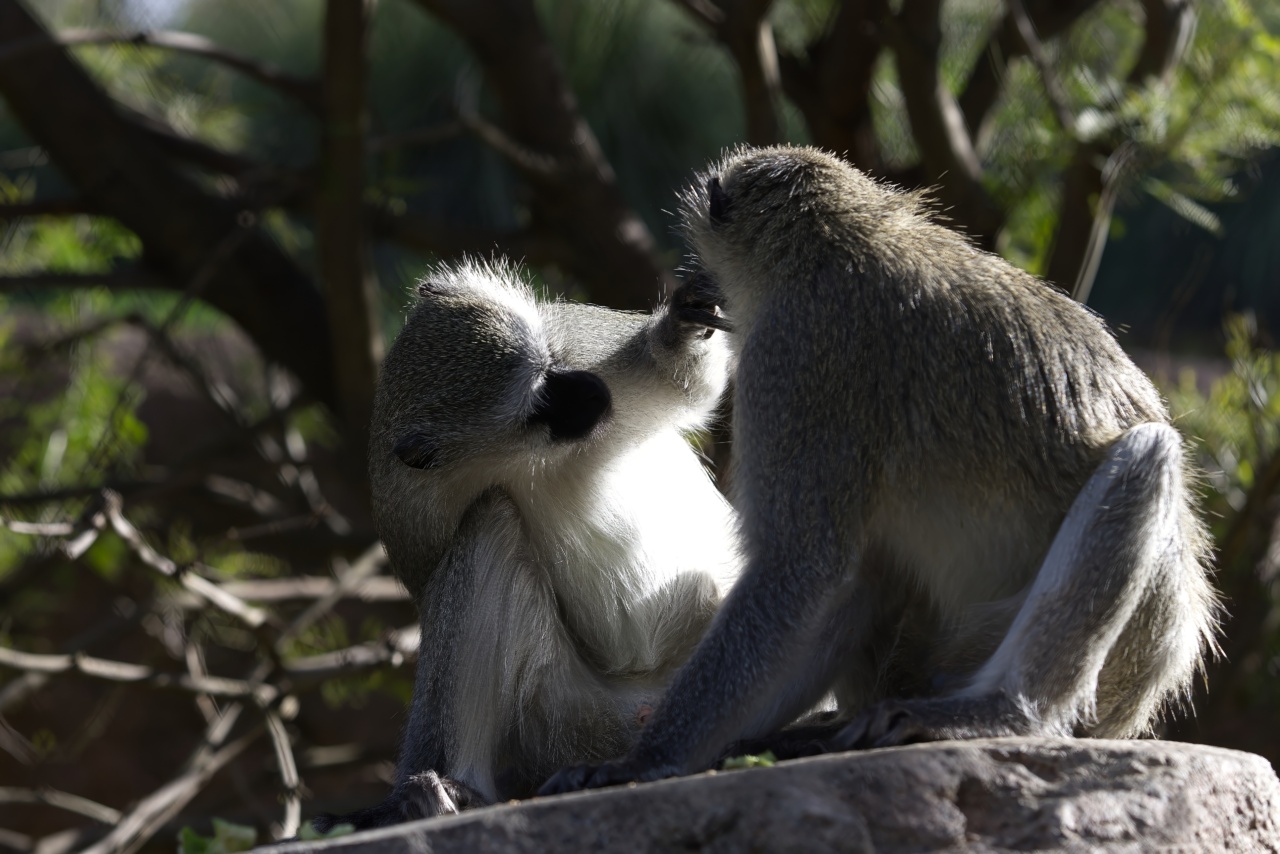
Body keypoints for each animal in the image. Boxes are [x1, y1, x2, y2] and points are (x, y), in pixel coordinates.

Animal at [312, 258, 742, 829]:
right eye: (538, 403)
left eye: (552, 364)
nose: (592, 392)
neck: (522, 456)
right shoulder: (411, 507)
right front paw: (398, 799)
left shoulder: (583, 344)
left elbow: (687, 383)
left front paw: (683, 325)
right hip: (573, 722)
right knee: (488, 522)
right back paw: (459, 791)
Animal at [542, 143, 1218, 793]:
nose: (696, 287)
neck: (837, 245)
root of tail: (1145, 693)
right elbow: (836, 579)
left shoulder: (794, 360)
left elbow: (797, 568)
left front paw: (645, 759)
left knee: (1147, 454)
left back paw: (1004, 712)